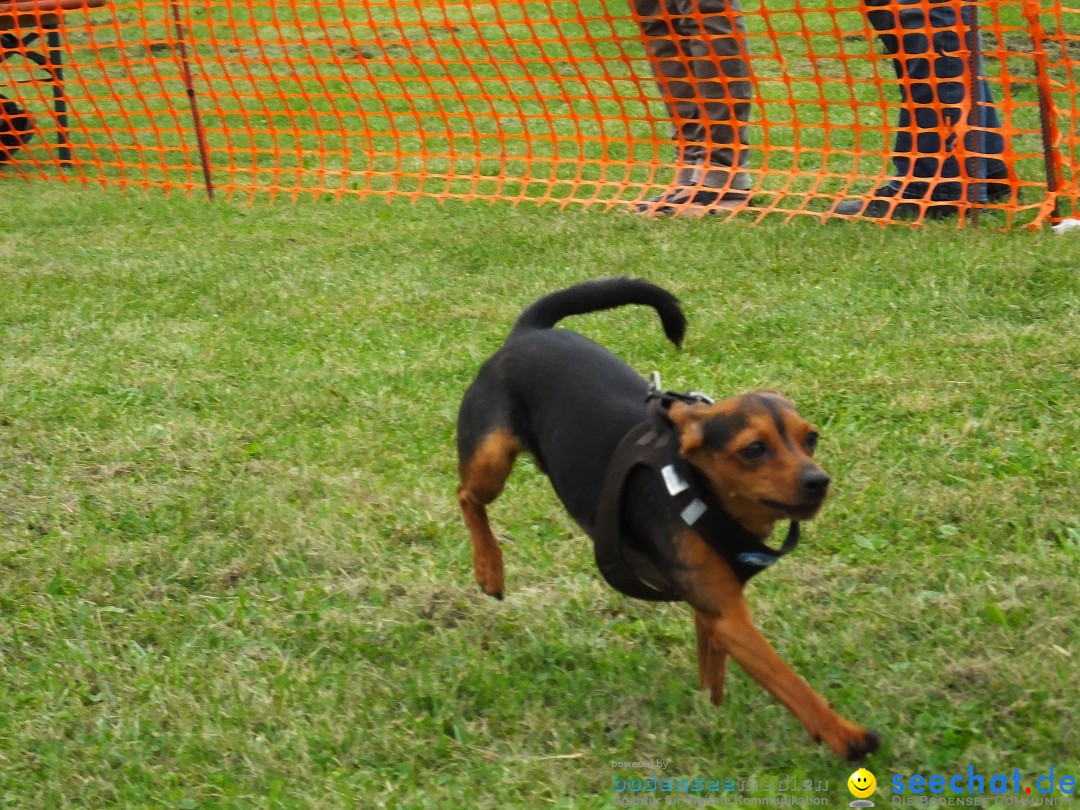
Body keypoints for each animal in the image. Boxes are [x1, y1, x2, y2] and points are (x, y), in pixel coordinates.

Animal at [451, 278, 881, 760]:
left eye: (811, 439)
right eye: (754, 449)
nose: (818, 481)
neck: (700, 492)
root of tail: (528, 331)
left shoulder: (713, 608)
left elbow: (713, 675)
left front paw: (711, 717)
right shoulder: (730, 618)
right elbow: (789, 682)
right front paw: (844, 734)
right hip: (490, 460)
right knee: (467, 497)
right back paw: (489, 567)